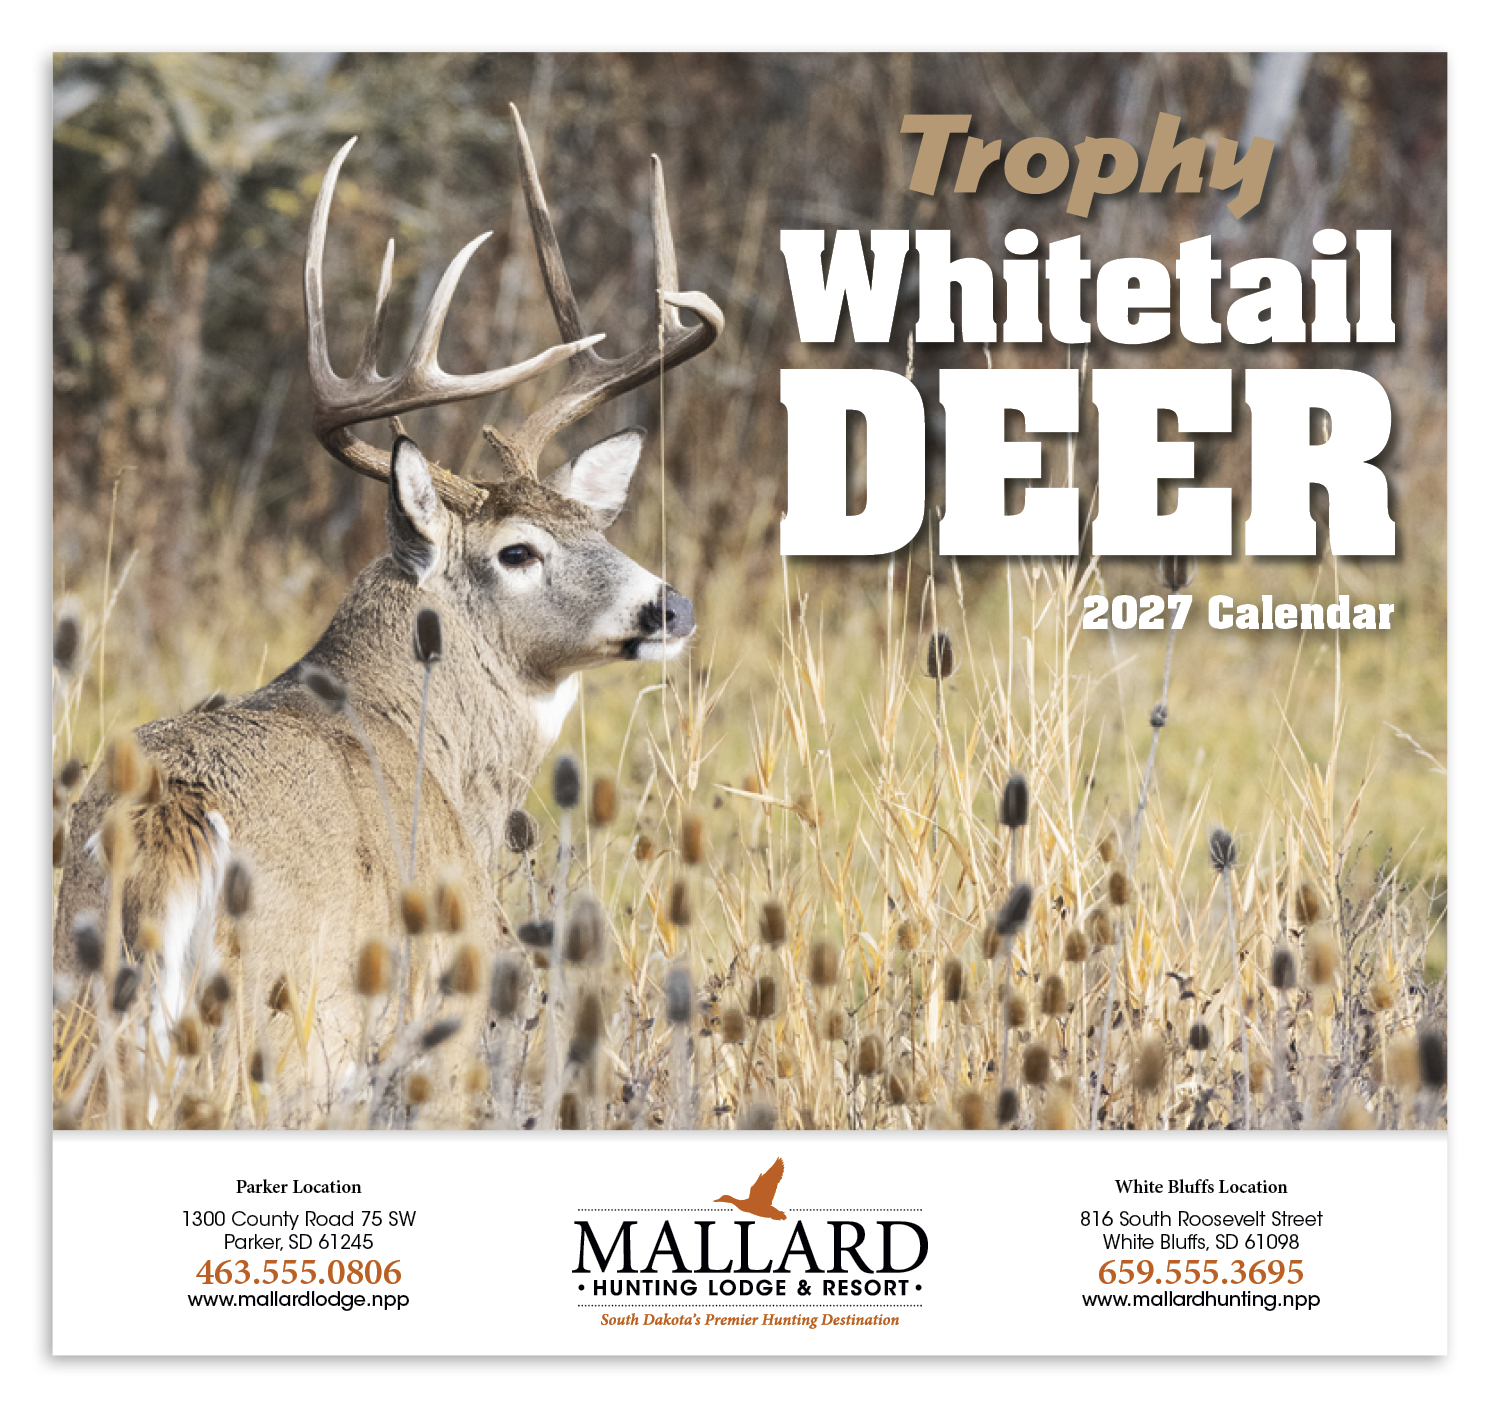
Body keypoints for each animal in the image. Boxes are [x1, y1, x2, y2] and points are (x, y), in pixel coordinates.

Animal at [52, 106, 722, 1126]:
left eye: (590, 523)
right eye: (517, 551)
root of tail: (171, 817)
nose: (669, 605)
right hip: (279, 1033)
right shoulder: (438, 1019)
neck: (436, 752)